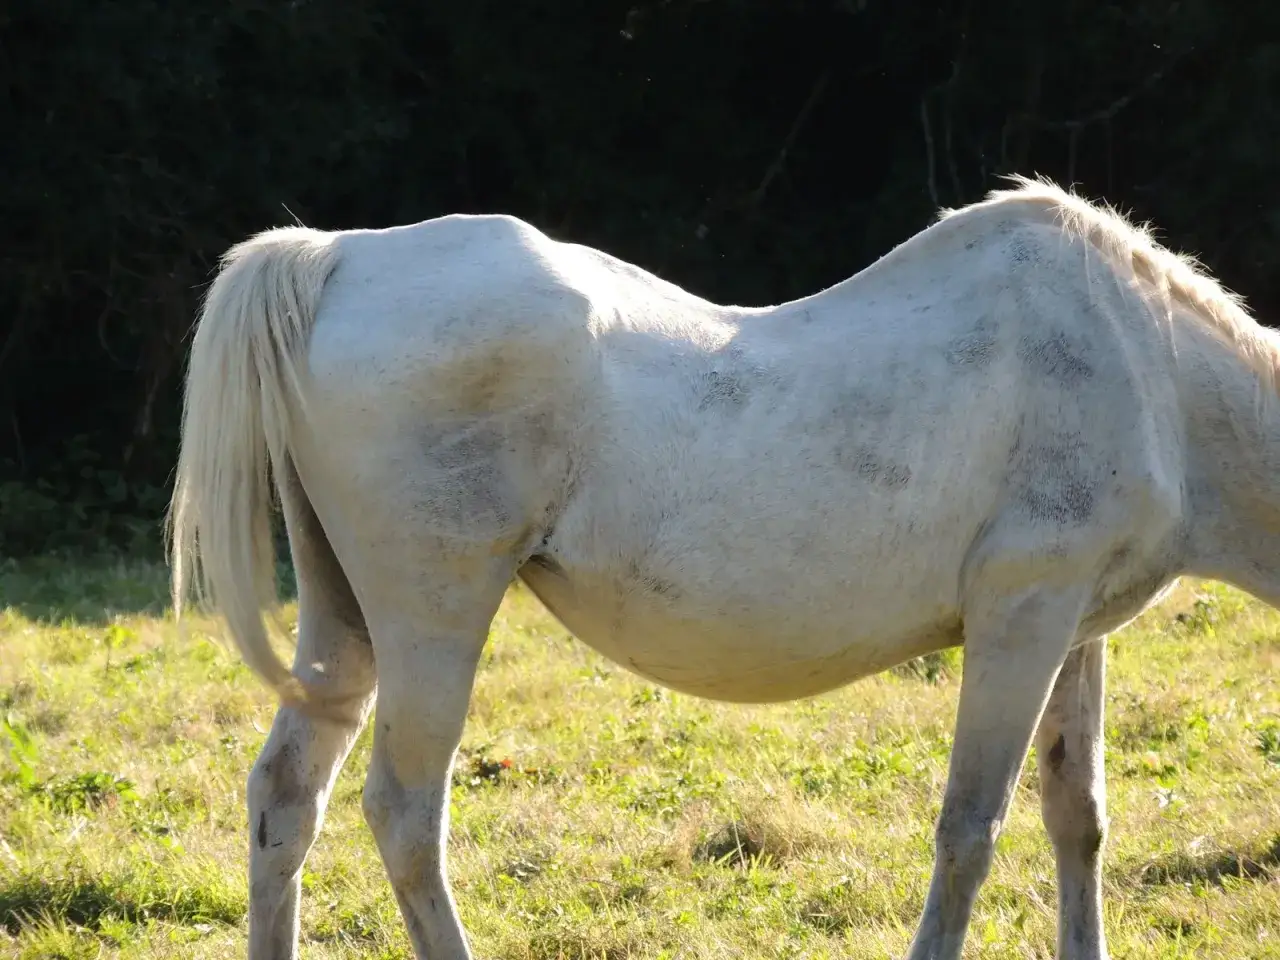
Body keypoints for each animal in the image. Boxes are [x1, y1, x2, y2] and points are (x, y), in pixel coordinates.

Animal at [168, 176, 1280, 960]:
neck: (1153, 370)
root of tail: (337, 259)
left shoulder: (1074, 631)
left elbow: (1075, 818)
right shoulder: (1021, 620)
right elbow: (970, 829)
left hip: (342, 620)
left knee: (287, 797)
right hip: (431, 617)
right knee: (404, 814)